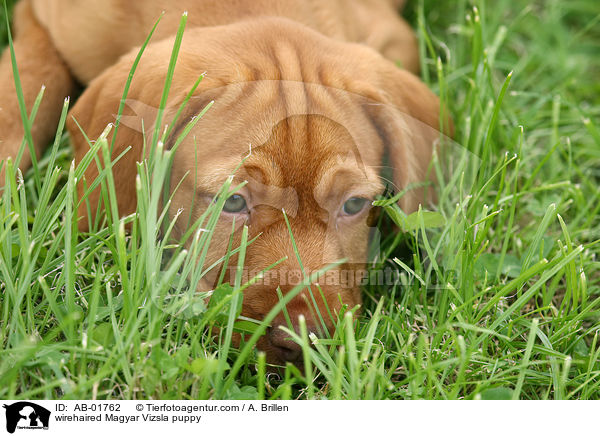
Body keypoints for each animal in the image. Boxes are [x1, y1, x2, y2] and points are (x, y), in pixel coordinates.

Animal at [0, 0, 446, 366]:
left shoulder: (392, 34)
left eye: (353, 205)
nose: (302, 343)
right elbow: (32, 71)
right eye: (232, 202)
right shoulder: (43, 15)